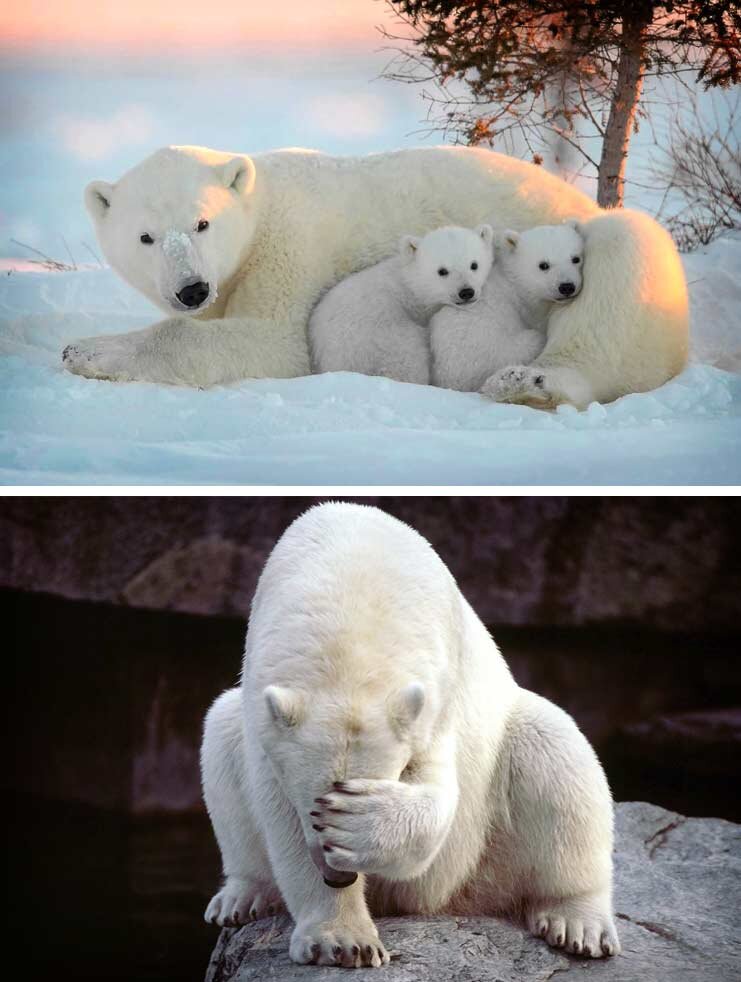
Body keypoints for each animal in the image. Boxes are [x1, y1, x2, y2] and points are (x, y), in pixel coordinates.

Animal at [201, 504, 620, 972]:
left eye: (339, 800)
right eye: (313, 807)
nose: (338, 875)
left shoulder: (437, 693)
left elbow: (437, 796)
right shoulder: (264, 710)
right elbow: (278, 813)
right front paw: (343, 941)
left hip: (489, 844)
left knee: (555, 751)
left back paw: (578, 922)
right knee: (221, 735)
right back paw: (243, 896)